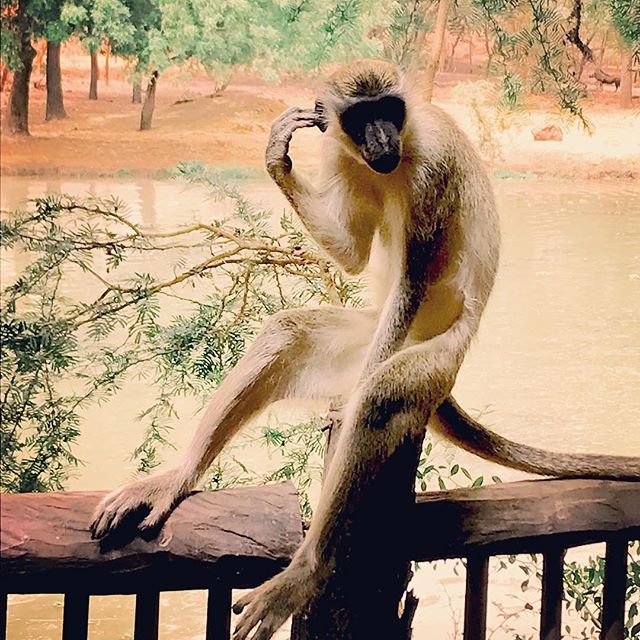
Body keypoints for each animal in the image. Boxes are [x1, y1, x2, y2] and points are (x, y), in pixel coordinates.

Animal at [90, 60, 640, 640]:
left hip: (433, 361)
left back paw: (306, 570)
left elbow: (411, 287)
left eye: (389, 110)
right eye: (361, 117)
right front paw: (277, 156)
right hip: (367, 337)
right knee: (286, 333)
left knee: (379, 396)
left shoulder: (433, 172)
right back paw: (180, 478)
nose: (381, 139)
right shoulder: (341, 157)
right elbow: (353, 254)